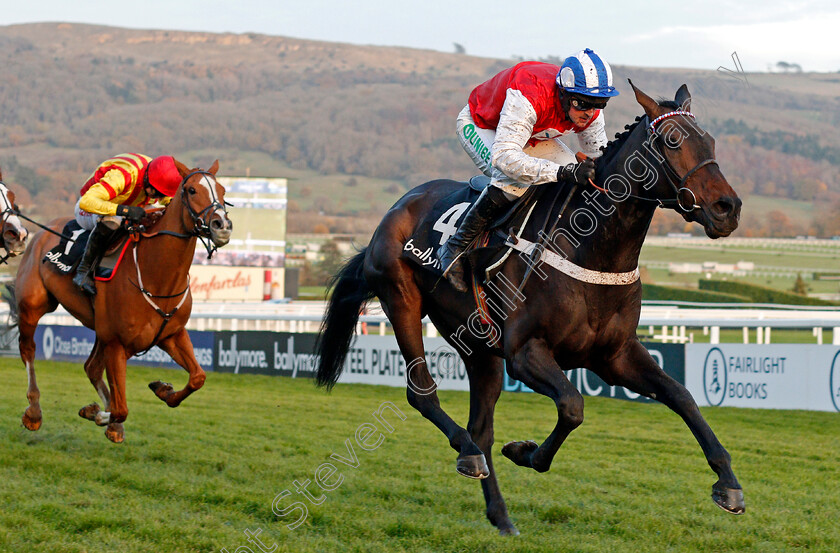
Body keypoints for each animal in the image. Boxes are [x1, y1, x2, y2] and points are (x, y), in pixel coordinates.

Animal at [10, 158, 233, 440]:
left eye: (223, 191)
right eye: (192, 190)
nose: (222, 226)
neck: (156, 276)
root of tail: (39, 234)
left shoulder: (172, 334)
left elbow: (197, 377)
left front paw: (163, 389)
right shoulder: (117, 343)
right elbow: (121, 409)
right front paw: (97, 413)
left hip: (100, 329)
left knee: (91, 368)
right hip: (33, 306)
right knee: (28, 349)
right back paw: (34, 412)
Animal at [318, 83, 744, 536]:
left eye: (710, 141)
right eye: (671, 141)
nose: (727, 208)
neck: (590, 248)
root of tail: (399, 206)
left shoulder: (615, 356)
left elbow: (682, 396)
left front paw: (728, 485)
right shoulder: (525, 354)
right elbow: (572, 407)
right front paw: (524, 451)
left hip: (480, 348)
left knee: (481, 427)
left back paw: (500, 514)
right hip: (401, 300)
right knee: (423, 395)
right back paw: (467, 452)